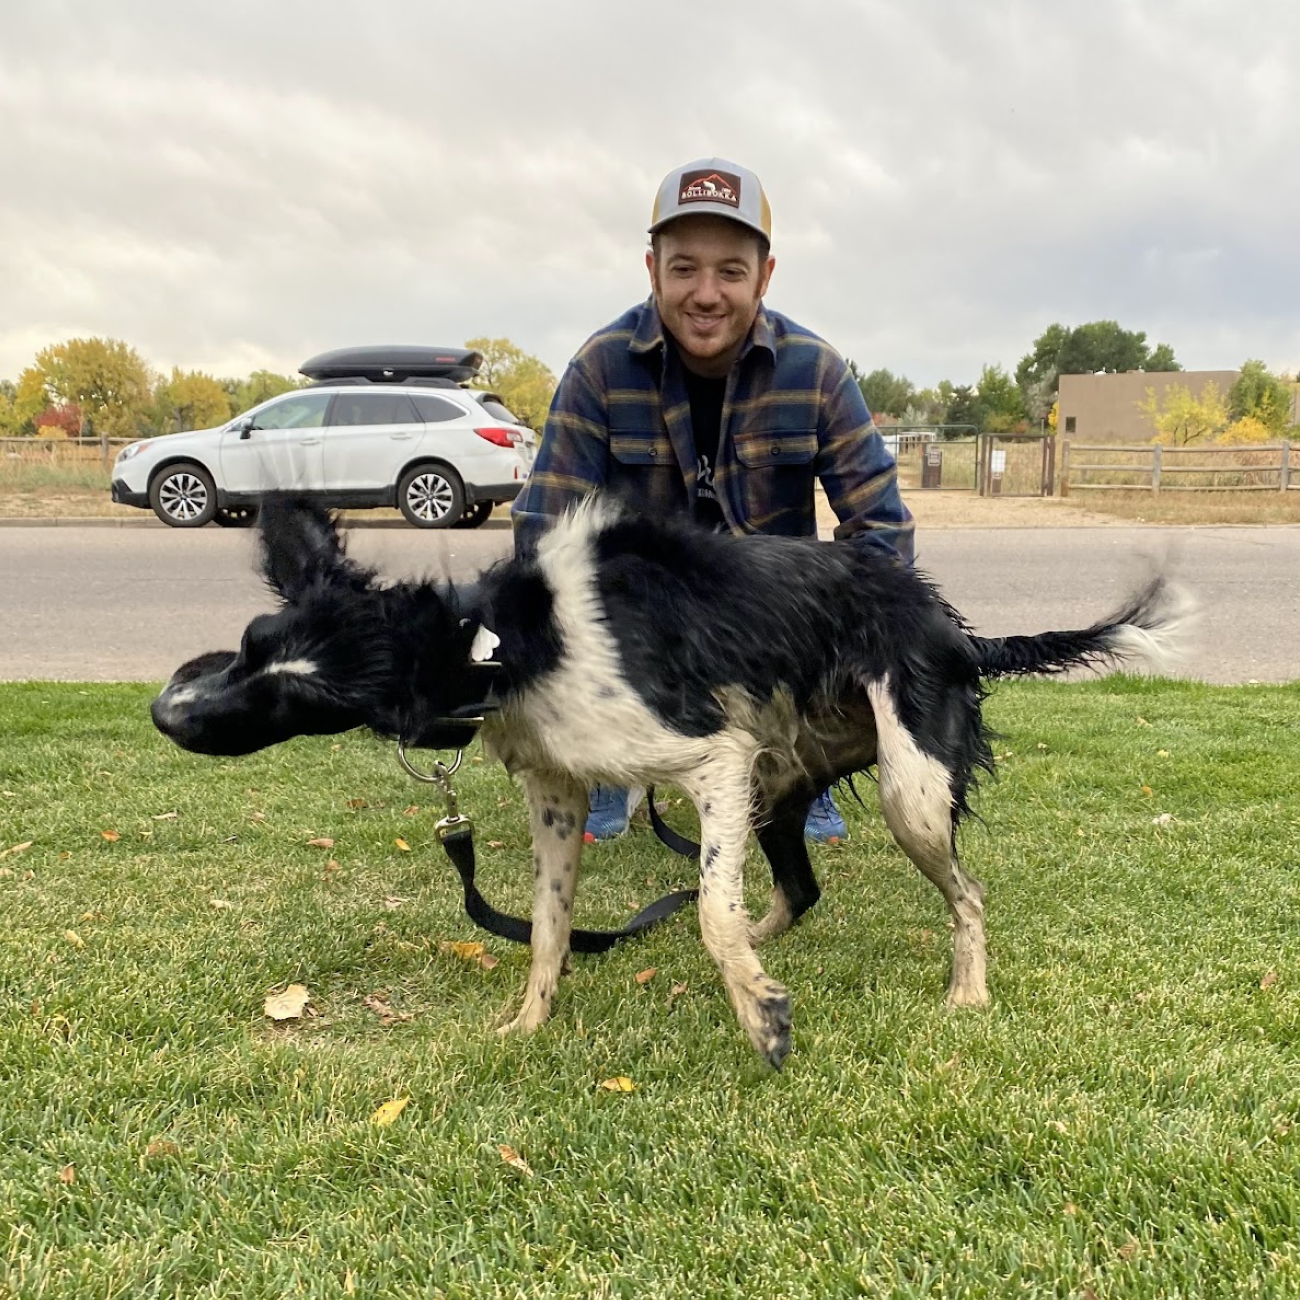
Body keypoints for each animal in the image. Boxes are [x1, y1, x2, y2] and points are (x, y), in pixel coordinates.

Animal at [152, 498, 1191, 1068]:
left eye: (312, 698)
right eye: (250, 643)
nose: (165, 712)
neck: (515, 640)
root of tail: (952, 627)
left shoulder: (710, 759)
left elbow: (710, 913)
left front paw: (760, 1018)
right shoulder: (561, 799)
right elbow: (550, 929)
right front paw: (528, 1023)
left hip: (906, 791)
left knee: (962, 893)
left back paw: (964, 992)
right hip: (781, 780)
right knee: (795, 889)